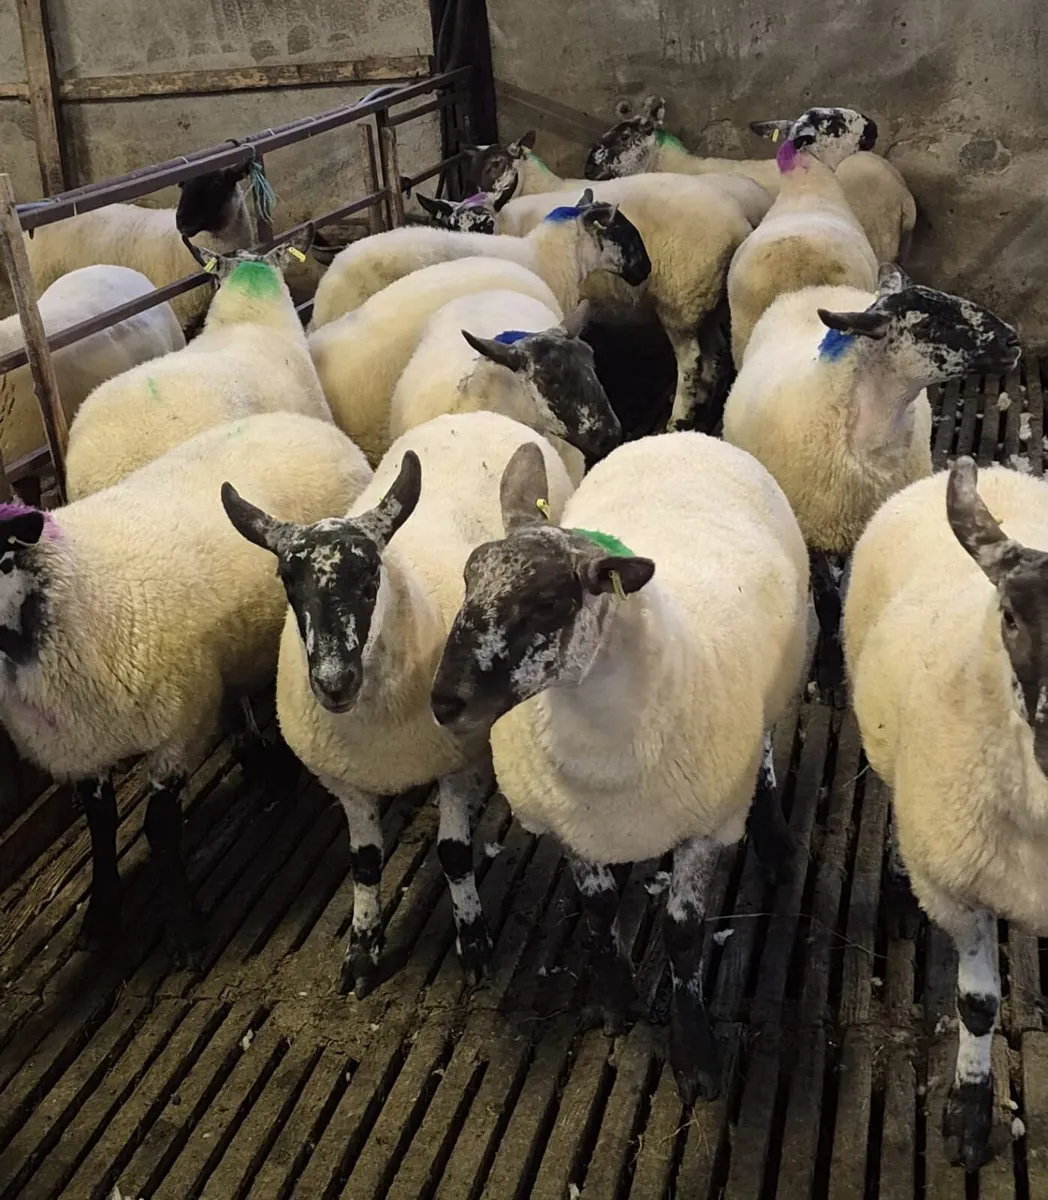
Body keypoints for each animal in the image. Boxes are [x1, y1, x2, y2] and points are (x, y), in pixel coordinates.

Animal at [0, 411, 372, 966]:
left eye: (2, 563)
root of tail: (303, 422)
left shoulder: (175, 726)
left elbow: (159, 828)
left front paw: (185, 929)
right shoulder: (83, 745)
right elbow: (101, 827)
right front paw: (101, 916)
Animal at [221, 410, 575, 996]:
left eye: (370, 577)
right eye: (287, 581)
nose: (334, 682)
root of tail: (472, 413)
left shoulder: (454, 758)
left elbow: (454, 855)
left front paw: (473, 941)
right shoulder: (345, 778)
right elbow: (363, 863)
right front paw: (363, 949)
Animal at [429, 430, 808, 1104]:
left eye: (548, 602)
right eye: (467, 578)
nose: (444, 701)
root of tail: (681, 435)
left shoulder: (704, 824)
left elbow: (683, 935)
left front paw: (695, 1053)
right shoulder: (573, 824)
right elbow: (599, 910)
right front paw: (615, 1002)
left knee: (762, 751)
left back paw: (775, 843)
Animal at [723, 264, 1020, 701]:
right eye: (929, 323)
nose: (1013, 340)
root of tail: (817, 287)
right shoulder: (810, 526)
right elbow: (827, 600)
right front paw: (830, 672)